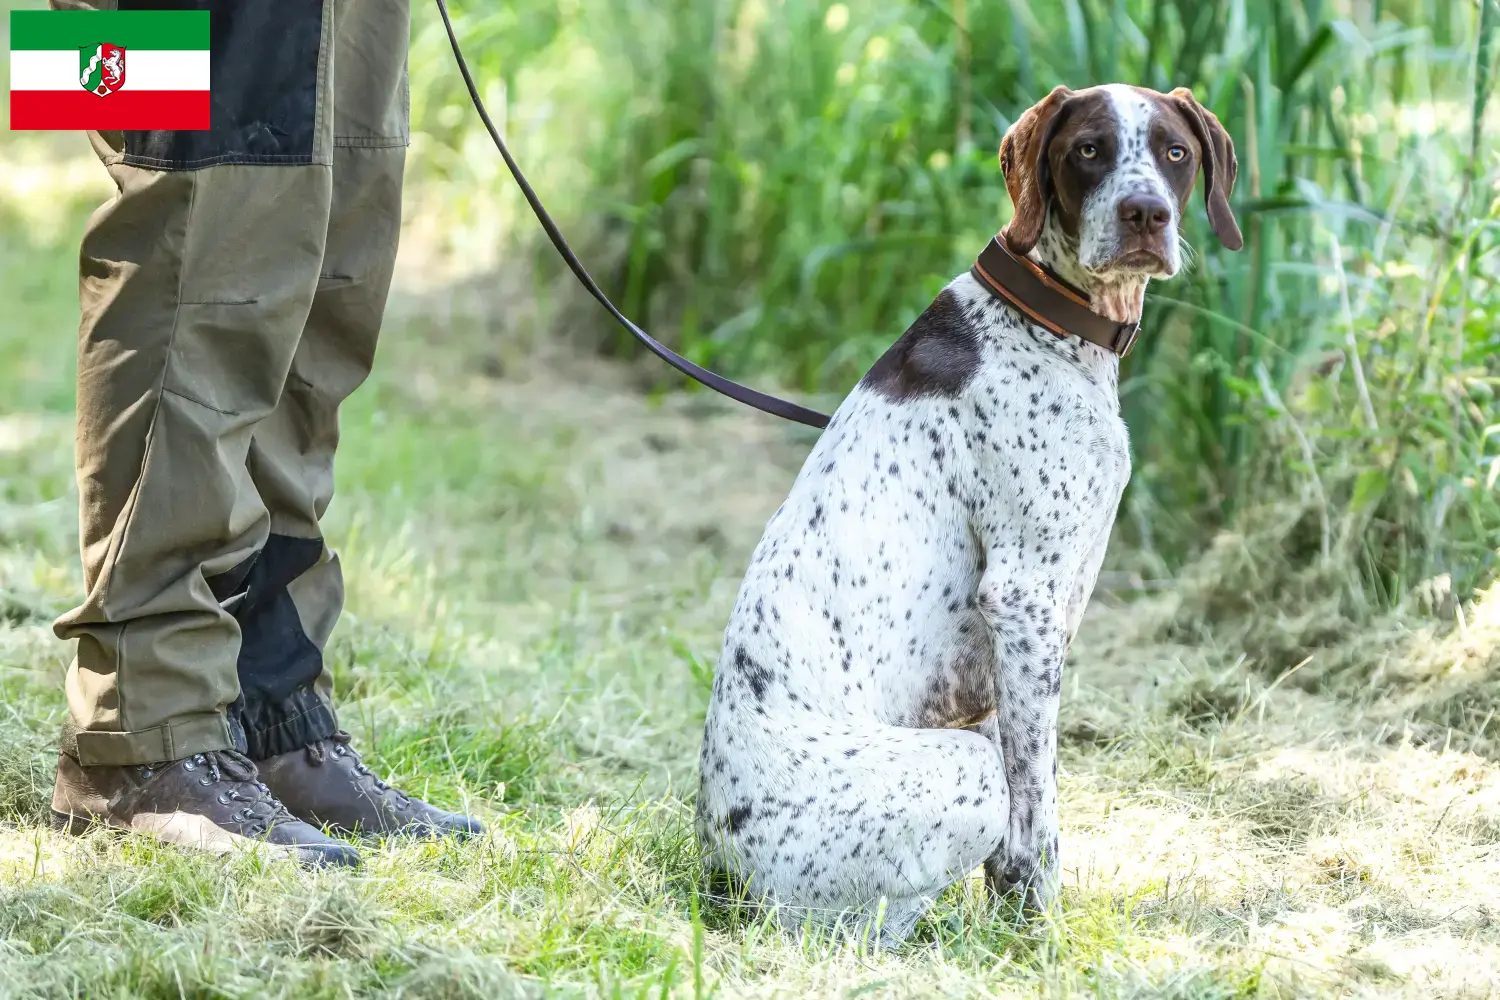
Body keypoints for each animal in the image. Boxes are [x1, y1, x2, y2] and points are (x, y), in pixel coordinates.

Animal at [690, 82, 1242, 941]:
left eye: (1175, 152)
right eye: (1088, 149)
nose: (1146, 213)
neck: (1046, 319)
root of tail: (720, 863)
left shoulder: (996, 658)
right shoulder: (1024, 601)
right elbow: (1037, 808)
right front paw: (1038, 930)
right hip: (951, 773)